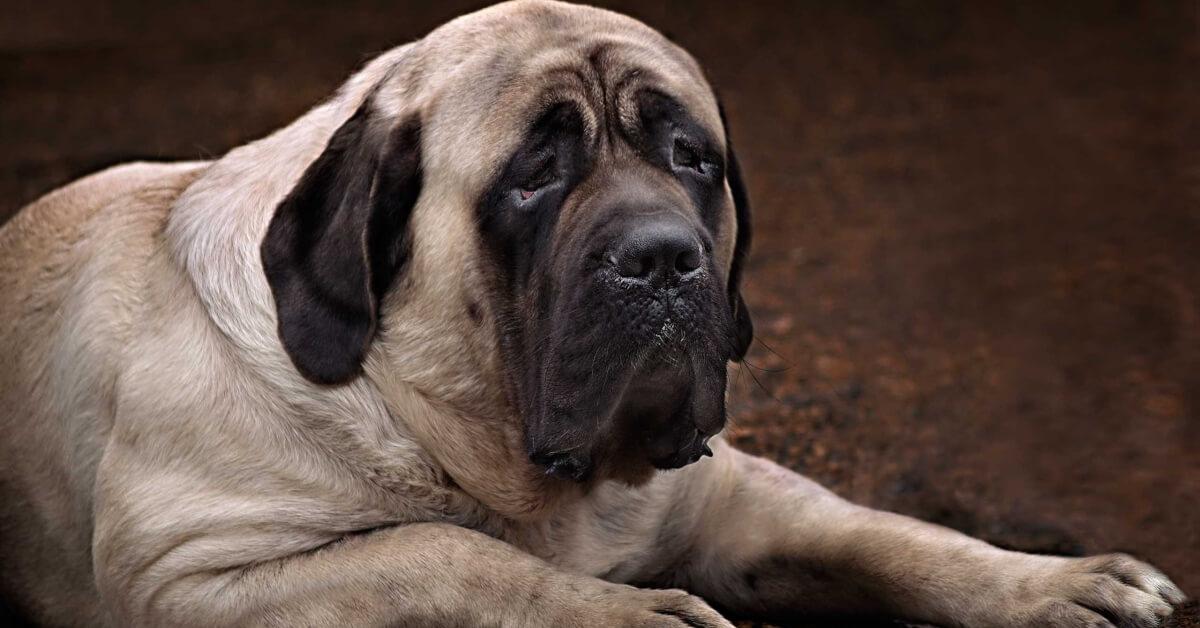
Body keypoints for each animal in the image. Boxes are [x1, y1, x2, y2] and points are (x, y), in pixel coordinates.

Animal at [0, 1, 1180, 628]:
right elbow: (443, 553)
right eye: (534, 177)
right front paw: (627, 614)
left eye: (692, 158)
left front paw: (1052, 580)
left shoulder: (727, 496)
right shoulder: (197, 576)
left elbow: (884, 532)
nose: (661, 257)